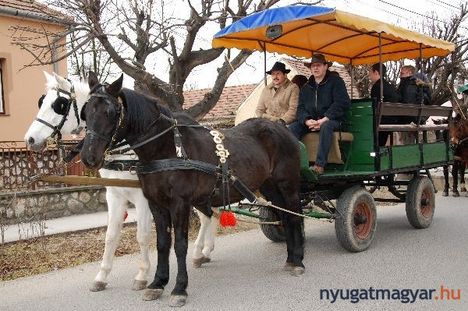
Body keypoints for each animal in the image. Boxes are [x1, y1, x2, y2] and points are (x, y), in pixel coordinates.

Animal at [23, 72, 218, 292]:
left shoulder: (143, 198)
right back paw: (203, 252)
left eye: (59, 105)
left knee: (207, 216)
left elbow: (143, 235)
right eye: (41, 102)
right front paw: (102, 276)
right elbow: (111, 235)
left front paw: (142, 274)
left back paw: (200, 251)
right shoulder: (114, 194)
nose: (30, 139)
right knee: (210, 215)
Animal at [79, 72, 308, 308]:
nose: (88, 157)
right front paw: (157, 283)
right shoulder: (155, 203)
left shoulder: (179, 203)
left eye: (110, 112)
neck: (167, 148)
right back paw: (290, 258)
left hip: (287, 185)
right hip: (269, 186)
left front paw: (179, 288)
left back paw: (298, 260)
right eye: (85, 112)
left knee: (293, 216)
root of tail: (281, 128)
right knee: (283, 216)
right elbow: (162, 243)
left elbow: (180, 245)